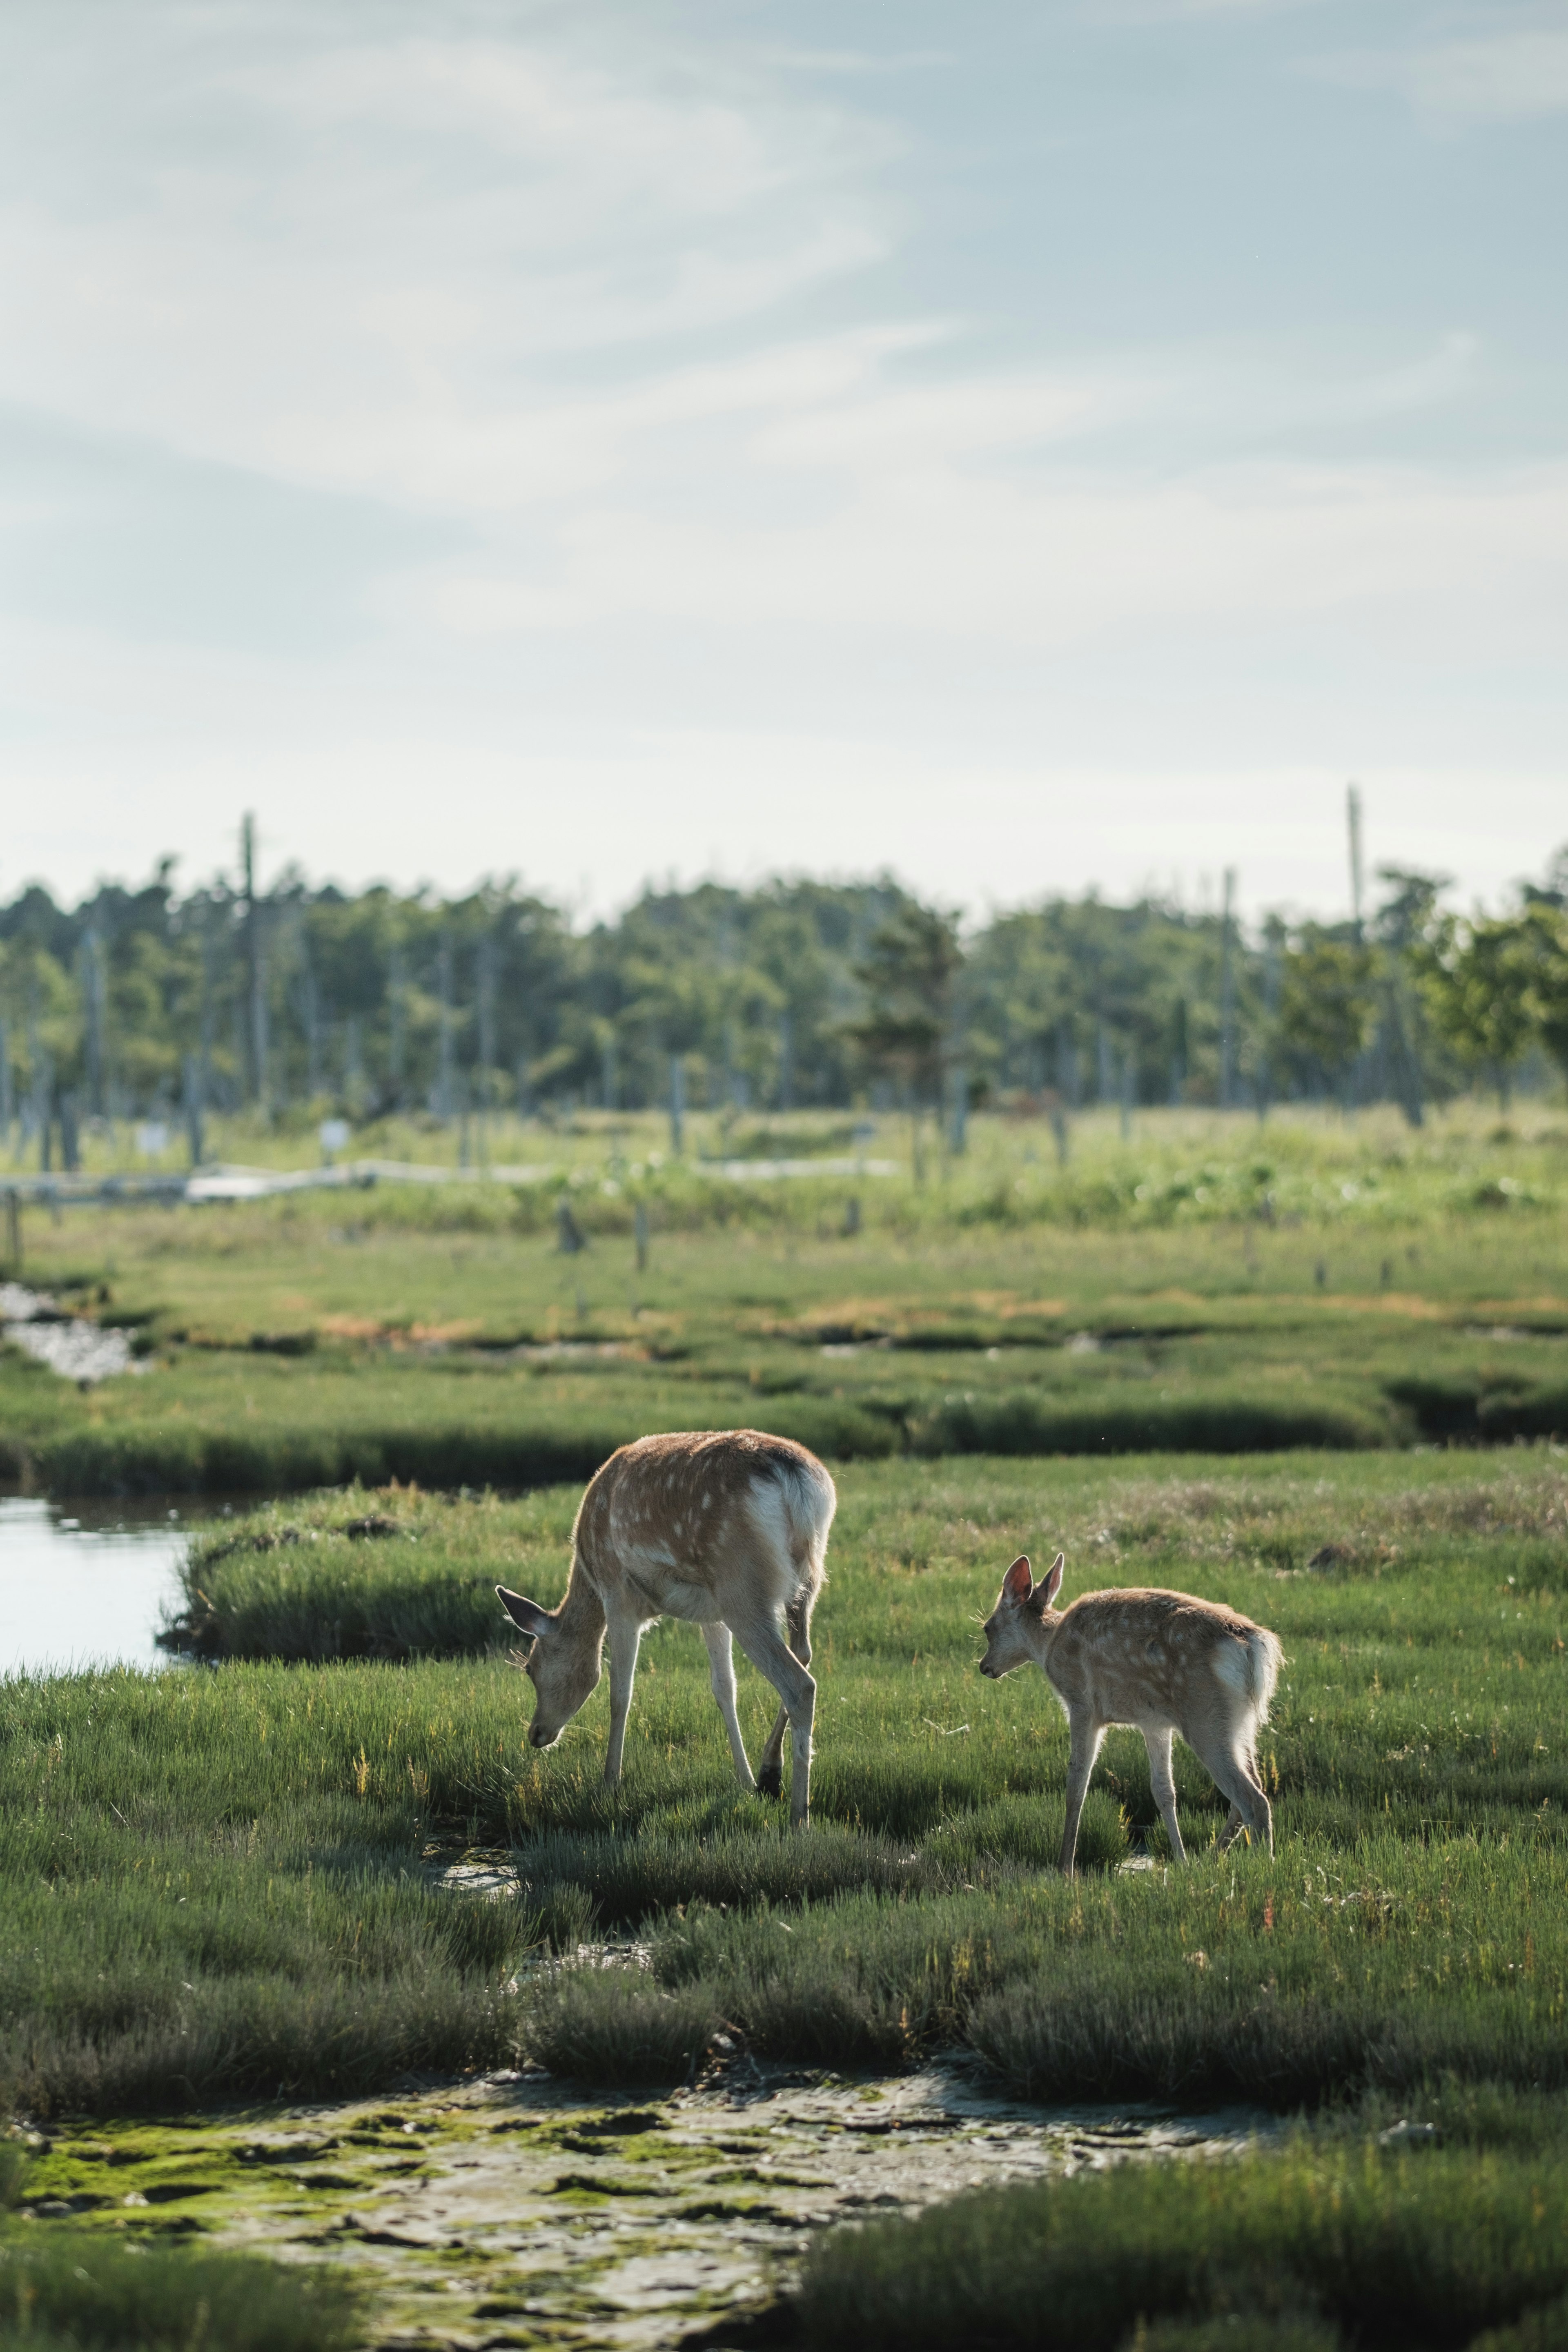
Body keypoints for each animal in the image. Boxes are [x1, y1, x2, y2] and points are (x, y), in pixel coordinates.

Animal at [496, 1421, 842, 1825]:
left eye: (531, 1668)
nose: (536, 1733)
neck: (589, 1576)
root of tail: (797, 1484)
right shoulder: (711, 1615)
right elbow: (725, 1689)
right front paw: (743, 1781)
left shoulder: (618, 1595)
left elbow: (620, 1692)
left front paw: (609, 1783)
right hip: (805, 1581)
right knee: (804, 1654)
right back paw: (769, 1774)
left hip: (741, 1584)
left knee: (799, 1684)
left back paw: (799, 1818)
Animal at [982, 1552, 1288, 1862]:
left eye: (987, 1628)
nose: (985, 1667)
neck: (1048, 1646)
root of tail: (1254, 1647)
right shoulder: (1154, 1722)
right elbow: (1164, 1791)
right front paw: (1181, 1861)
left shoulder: (1082, 1704)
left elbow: (1077, 1783)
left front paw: (1064, 1866)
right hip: (1242, 1724)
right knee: (1250, 1791)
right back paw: (1209, 1859)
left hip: (1206, 1716)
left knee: (1253, 1800)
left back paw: (1261, 1863)